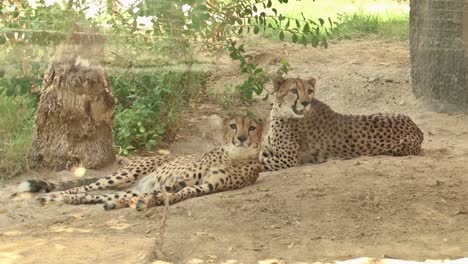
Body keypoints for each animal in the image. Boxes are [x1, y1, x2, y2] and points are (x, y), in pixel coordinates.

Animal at [18, 115, 264, 210]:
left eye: (252, 127)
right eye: (233, 126)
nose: (242, 138)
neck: (235, 156)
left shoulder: (206, 186)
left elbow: (181, 193)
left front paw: (153, 201)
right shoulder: (177, 181)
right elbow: (170, 191)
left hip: (130, 187)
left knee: (98, 195)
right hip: (125, 175)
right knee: (84, 187)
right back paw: (55, 196)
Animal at [260, 76, 424, 171]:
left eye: (310, 91)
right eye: (294, 90)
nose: (306, 102)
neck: (280, 112)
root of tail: (416, 127)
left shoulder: (287, 159)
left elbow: (259, 162)